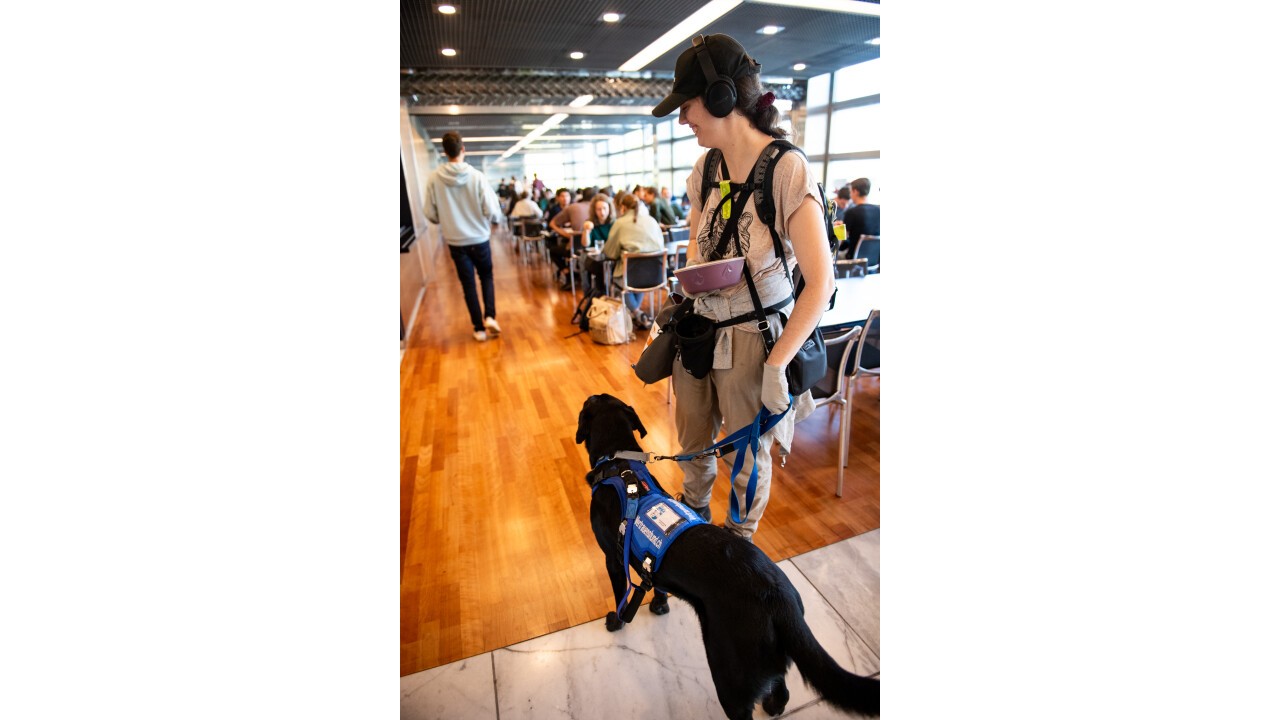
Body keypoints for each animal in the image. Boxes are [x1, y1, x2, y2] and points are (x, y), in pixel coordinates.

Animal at [573, 392, 880, 717]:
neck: (618, 463)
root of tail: (781, 600)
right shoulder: (650, 565)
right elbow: (656, 585)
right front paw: (659, 606)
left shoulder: (613, 558)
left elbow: (621, 593)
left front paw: (615, 622)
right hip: (767, 658)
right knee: (780, 687)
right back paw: (773, 705)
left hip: (730, 672)